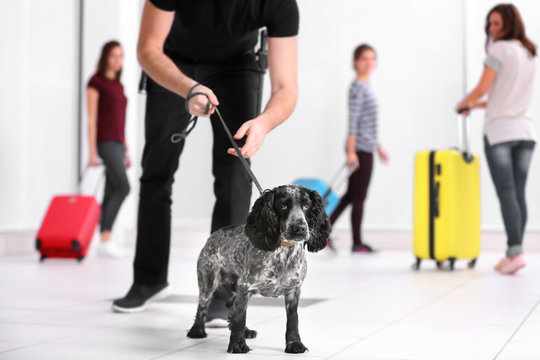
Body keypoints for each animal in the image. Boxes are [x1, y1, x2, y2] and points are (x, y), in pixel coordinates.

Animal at [186, 184, 332, 352]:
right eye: (283, 205)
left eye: (306, 205)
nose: (300, 228)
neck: (282, 253)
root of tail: (215, 234)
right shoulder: (246, 286)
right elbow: (240, 316)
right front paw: (237, 345)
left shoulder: (293, 290)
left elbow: (293, 320)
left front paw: (294, 343)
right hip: (209, 280)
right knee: (203, 306)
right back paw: (197, 330)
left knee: (232, 306)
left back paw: (246, 331)